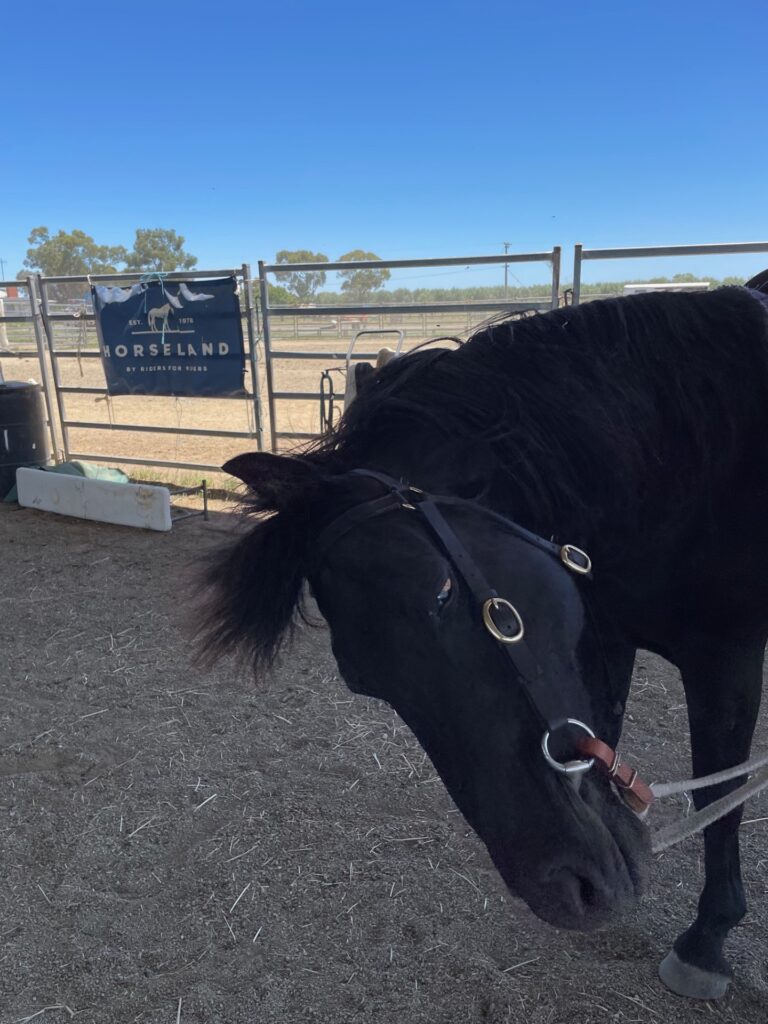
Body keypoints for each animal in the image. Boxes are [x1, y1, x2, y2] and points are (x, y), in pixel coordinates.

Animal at [196, 286, 768, 999]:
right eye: (363, 680)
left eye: (441, 593)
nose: (570, 888)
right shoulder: (606, 634)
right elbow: (607, 729)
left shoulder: (728, 655)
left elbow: (719, 794)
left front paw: (706, 941)